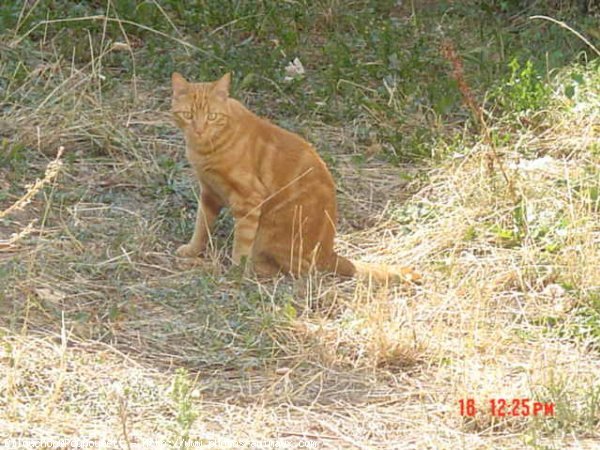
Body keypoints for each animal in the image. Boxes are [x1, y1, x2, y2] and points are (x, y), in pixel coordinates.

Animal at [171, 72, 420, 284]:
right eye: (188, 115)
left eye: (212, 117)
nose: (199, 130)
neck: (204, 148)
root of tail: (329, 253)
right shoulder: (209, 193)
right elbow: (201, 226)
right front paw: (192, 250)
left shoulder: (249, 199)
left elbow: (241, 245)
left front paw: (234, 271)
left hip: (273, 230)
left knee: (293, 270)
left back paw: (256, 267)